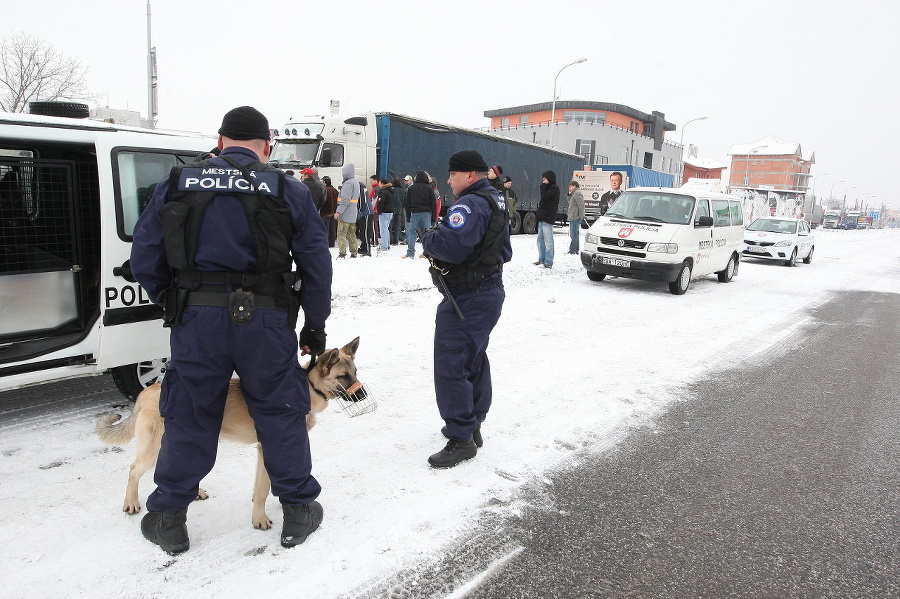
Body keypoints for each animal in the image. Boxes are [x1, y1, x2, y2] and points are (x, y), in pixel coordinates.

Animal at [97, 340, 362, 532]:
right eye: (342, 377)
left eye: (355, 372)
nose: (362, 395)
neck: (307, 388)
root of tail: (146, 392)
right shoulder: (270, 447)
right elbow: (264, 488)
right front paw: (259, 519)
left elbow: (261, 485)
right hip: (154, 447)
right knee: (134, 470)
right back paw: (131, 502)